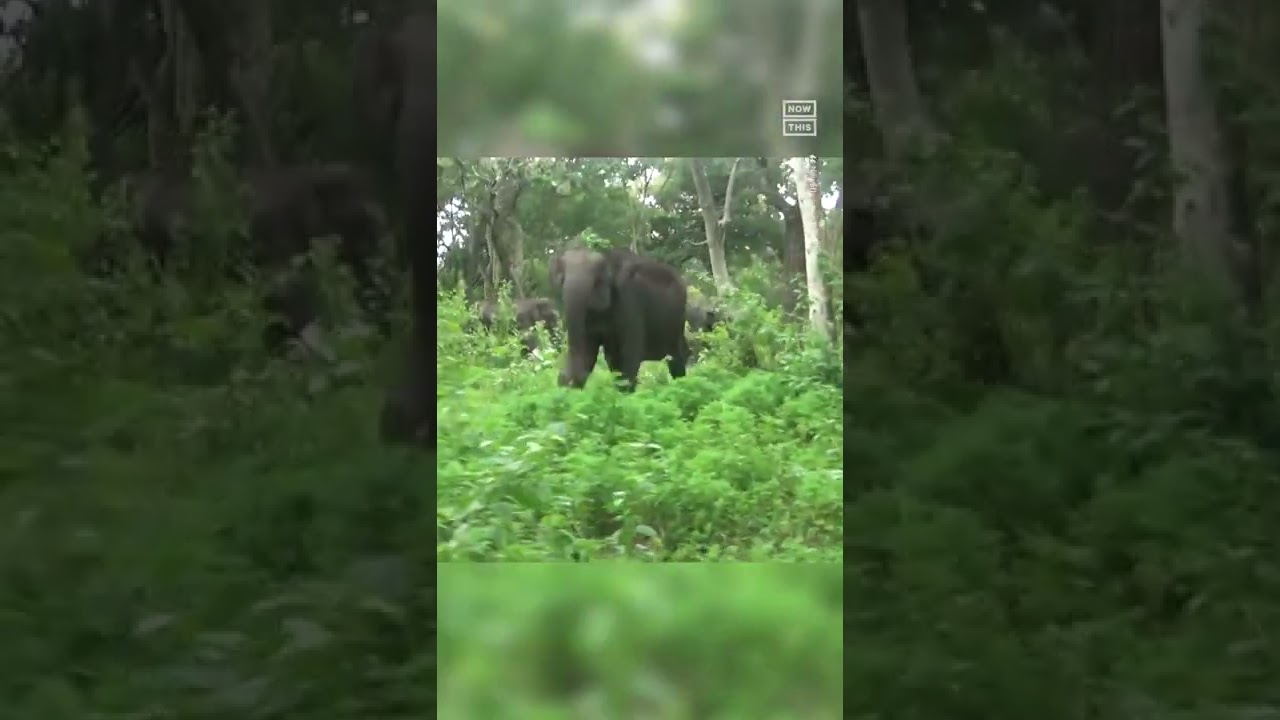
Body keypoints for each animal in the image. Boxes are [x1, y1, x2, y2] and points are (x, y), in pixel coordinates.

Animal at [550, 248, 691, 392]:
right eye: (561, 280)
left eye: (597, 281)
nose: (564, 378)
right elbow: (589, 353)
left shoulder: (630, 300)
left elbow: (629, 356)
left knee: (676, 358)